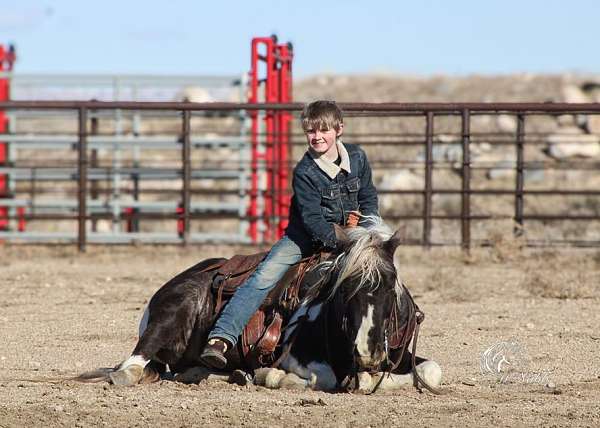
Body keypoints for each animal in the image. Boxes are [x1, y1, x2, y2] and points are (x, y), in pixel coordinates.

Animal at [77, 216, 440, 392]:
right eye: (343, 289)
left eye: (390, 285)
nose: (367, 352)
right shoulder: (295, 355)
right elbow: (328, 378)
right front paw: (274, 377)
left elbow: (430, 370)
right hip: (170, 317)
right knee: (132, 364)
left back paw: (229, 374)